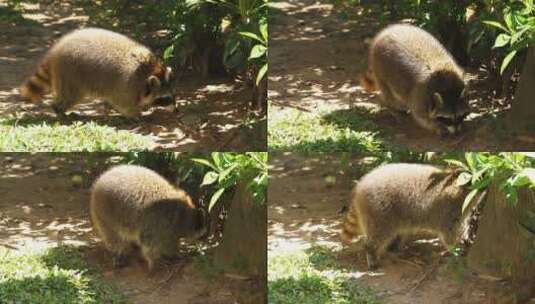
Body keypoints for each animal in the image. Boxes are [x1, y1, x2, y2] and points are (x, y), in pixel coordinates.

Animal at [19, 27, 176, 117]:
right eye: (165, 98)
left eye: (172, 96)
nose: (176, 110)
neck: (150, 71)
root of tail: (56, 50)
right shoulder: (126, 85)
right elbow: (123, 102)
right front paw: (135, 114)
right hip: (70, 73)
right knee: (71, 96)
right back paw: (59, 110)